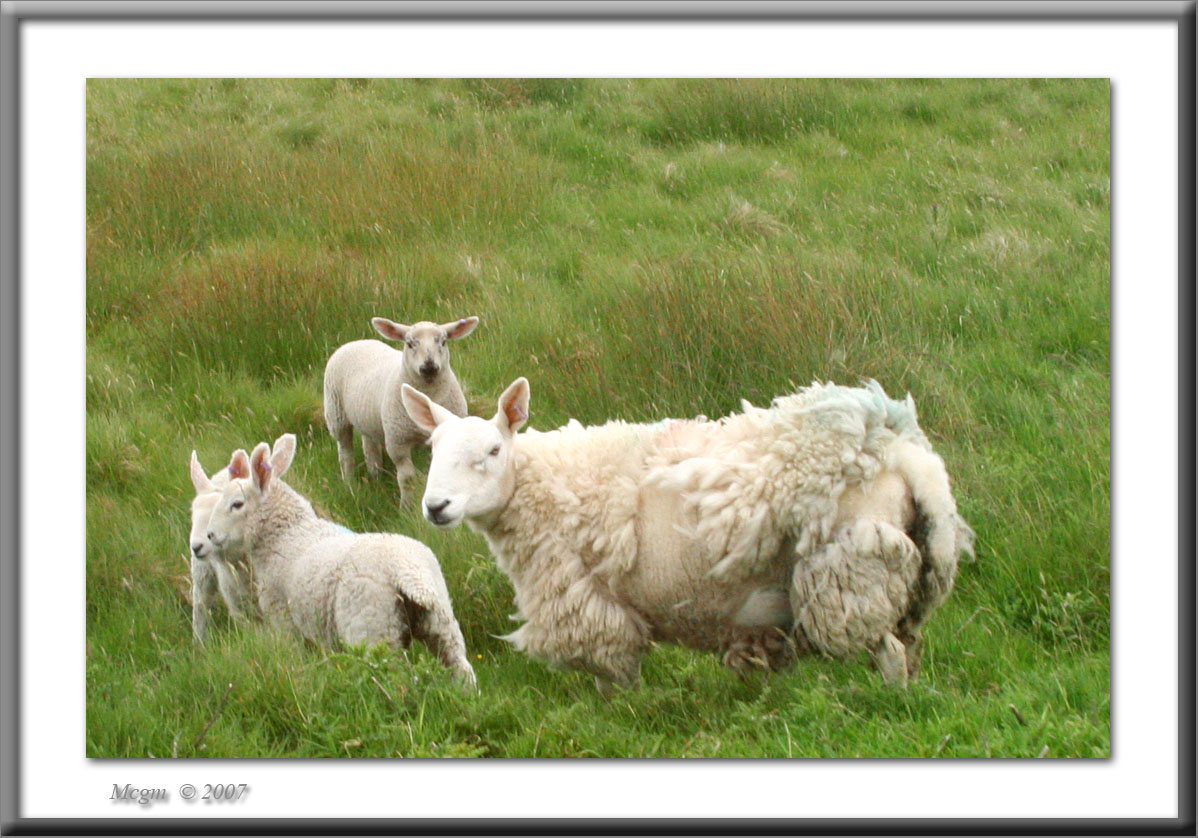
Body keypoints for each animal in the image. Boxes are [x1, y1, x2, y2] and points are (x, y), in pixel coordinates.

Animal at [203, 431, 474, 690]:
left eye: (236, 504)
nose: (209, 535)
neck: (286, 534)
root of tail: (408, 574)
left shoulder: (284, 619)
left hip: (372, 631)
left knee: (395, 681)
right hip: (441, 623)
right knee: (461, 669)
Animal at [328, 316, 481, 501]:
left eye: (443, 342)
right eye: (409, 344)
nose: (429, 367)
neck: (428, 396)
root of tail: (358, 342)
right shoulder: (398, 442)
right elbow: (407, 478)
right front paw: (406, 505)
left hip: (368, 418)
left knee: (369, 446)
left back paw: (375, 476)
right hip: (336, 414)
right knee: (345, 452)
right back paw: (349, 484)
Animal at [402, 376, 972, 690]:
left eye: (493, 450)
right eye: (433, 449)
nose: (436, 506)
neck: (539, 483)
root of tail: (900, 452)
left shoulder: (591, 603)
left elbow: (616, 678)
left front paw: (624, 718)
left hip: (853, 570)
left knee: (890, 654)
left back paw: (889, 706)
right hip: (905, 576)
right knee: (909, 647)